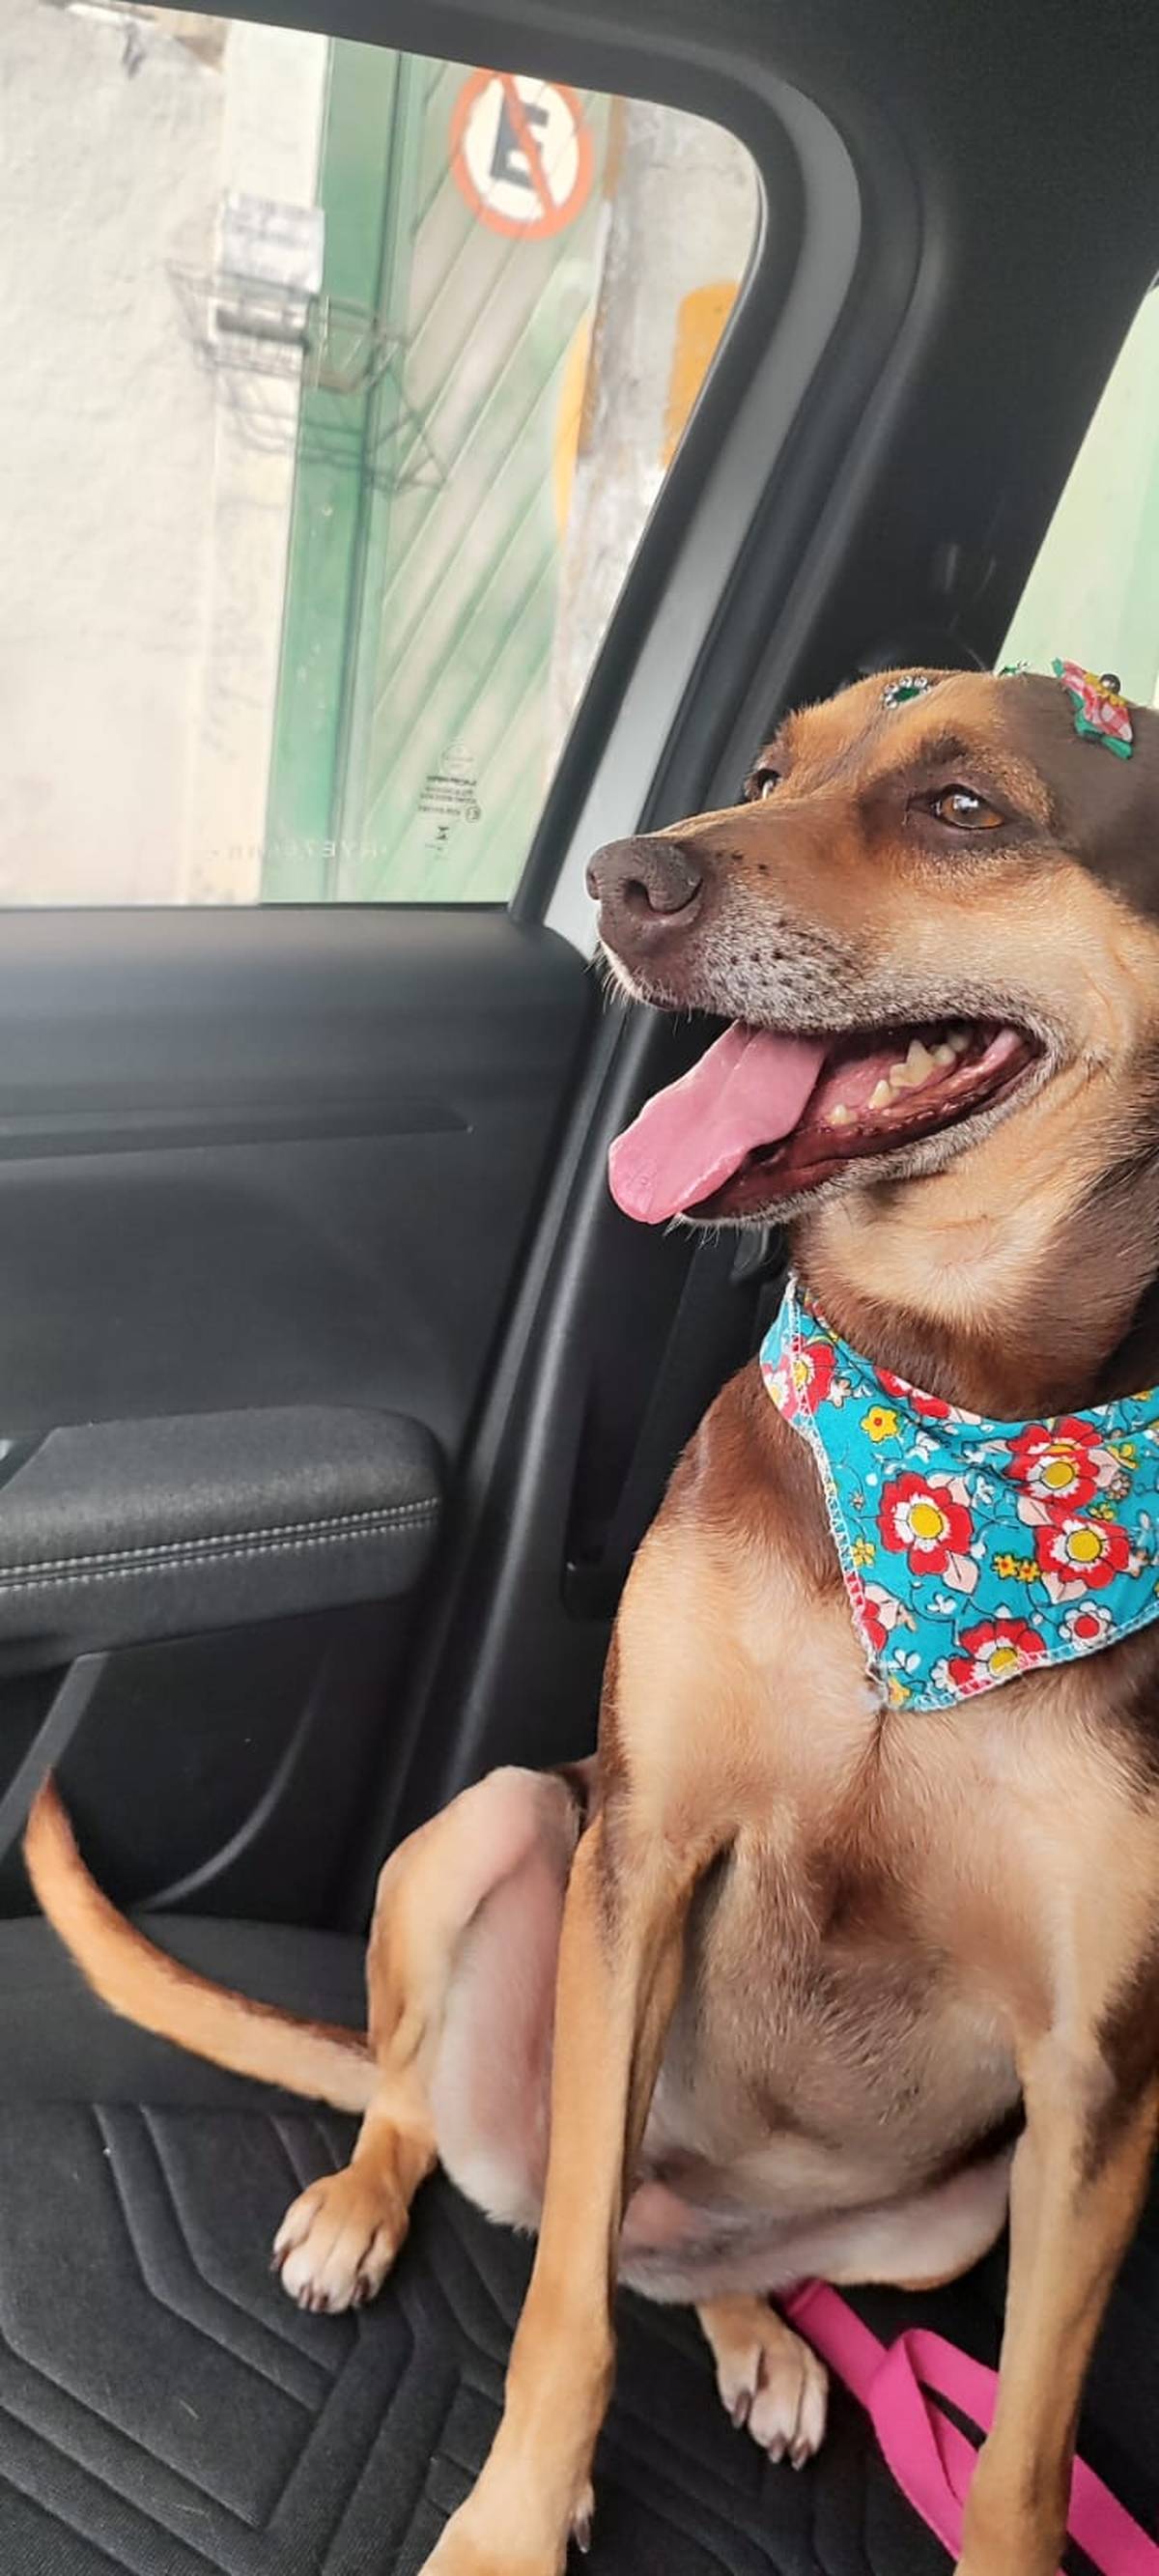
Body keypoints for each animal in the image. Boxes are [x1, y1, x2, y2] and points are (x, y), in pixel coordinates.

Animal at [24, 664, 1159, 2576]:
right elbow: (557, 2306)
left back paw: (763, 2334)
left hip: (952, 2214)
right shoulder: (646, 1845)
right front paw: (508, 2524)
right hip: (495, 1831)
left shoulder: (1101, 2073)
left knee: (686, 2263)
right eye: (773, 764)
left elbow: (1022, 2461)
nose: (628, 879)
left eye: (964, 807)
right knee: (459, 2128)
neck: (946, 1422)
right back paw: (364, 2203)